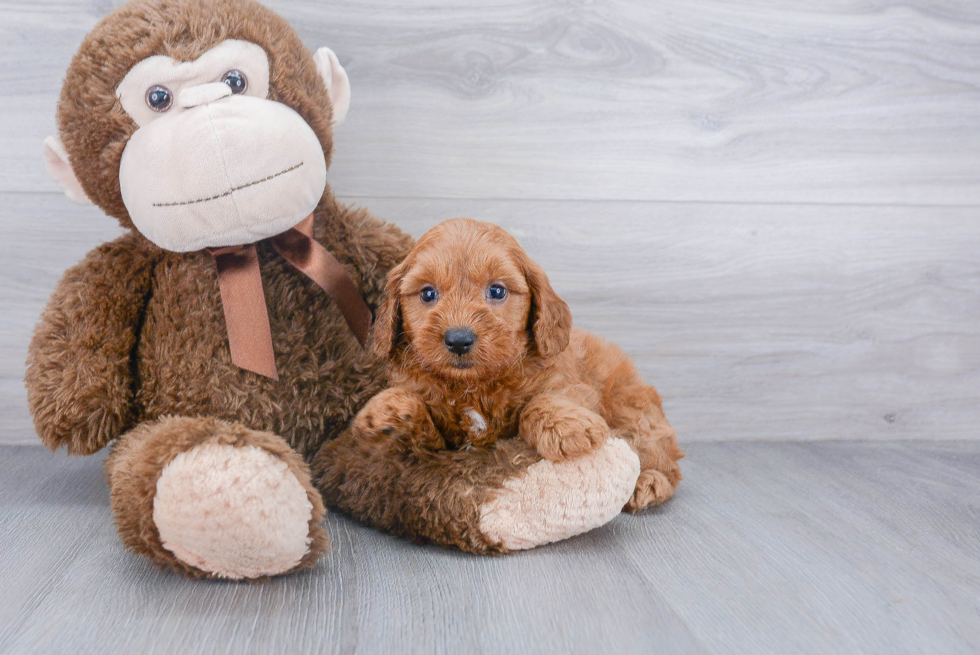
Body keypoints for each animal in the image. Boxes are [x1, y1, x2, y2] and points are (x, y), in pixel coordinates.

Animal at [356, 220, 684, 512]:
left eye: (497, 291)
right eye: (427, 293)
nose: (459, 339)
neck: (475, 385)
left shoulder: (568, 383)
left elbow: (541, 401)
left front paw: (567, 427)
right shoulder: (445, 446)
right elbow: (424, 429)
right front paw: (390, 415)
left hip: (632, 409)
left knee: (660, 454)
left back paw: (649, 482)